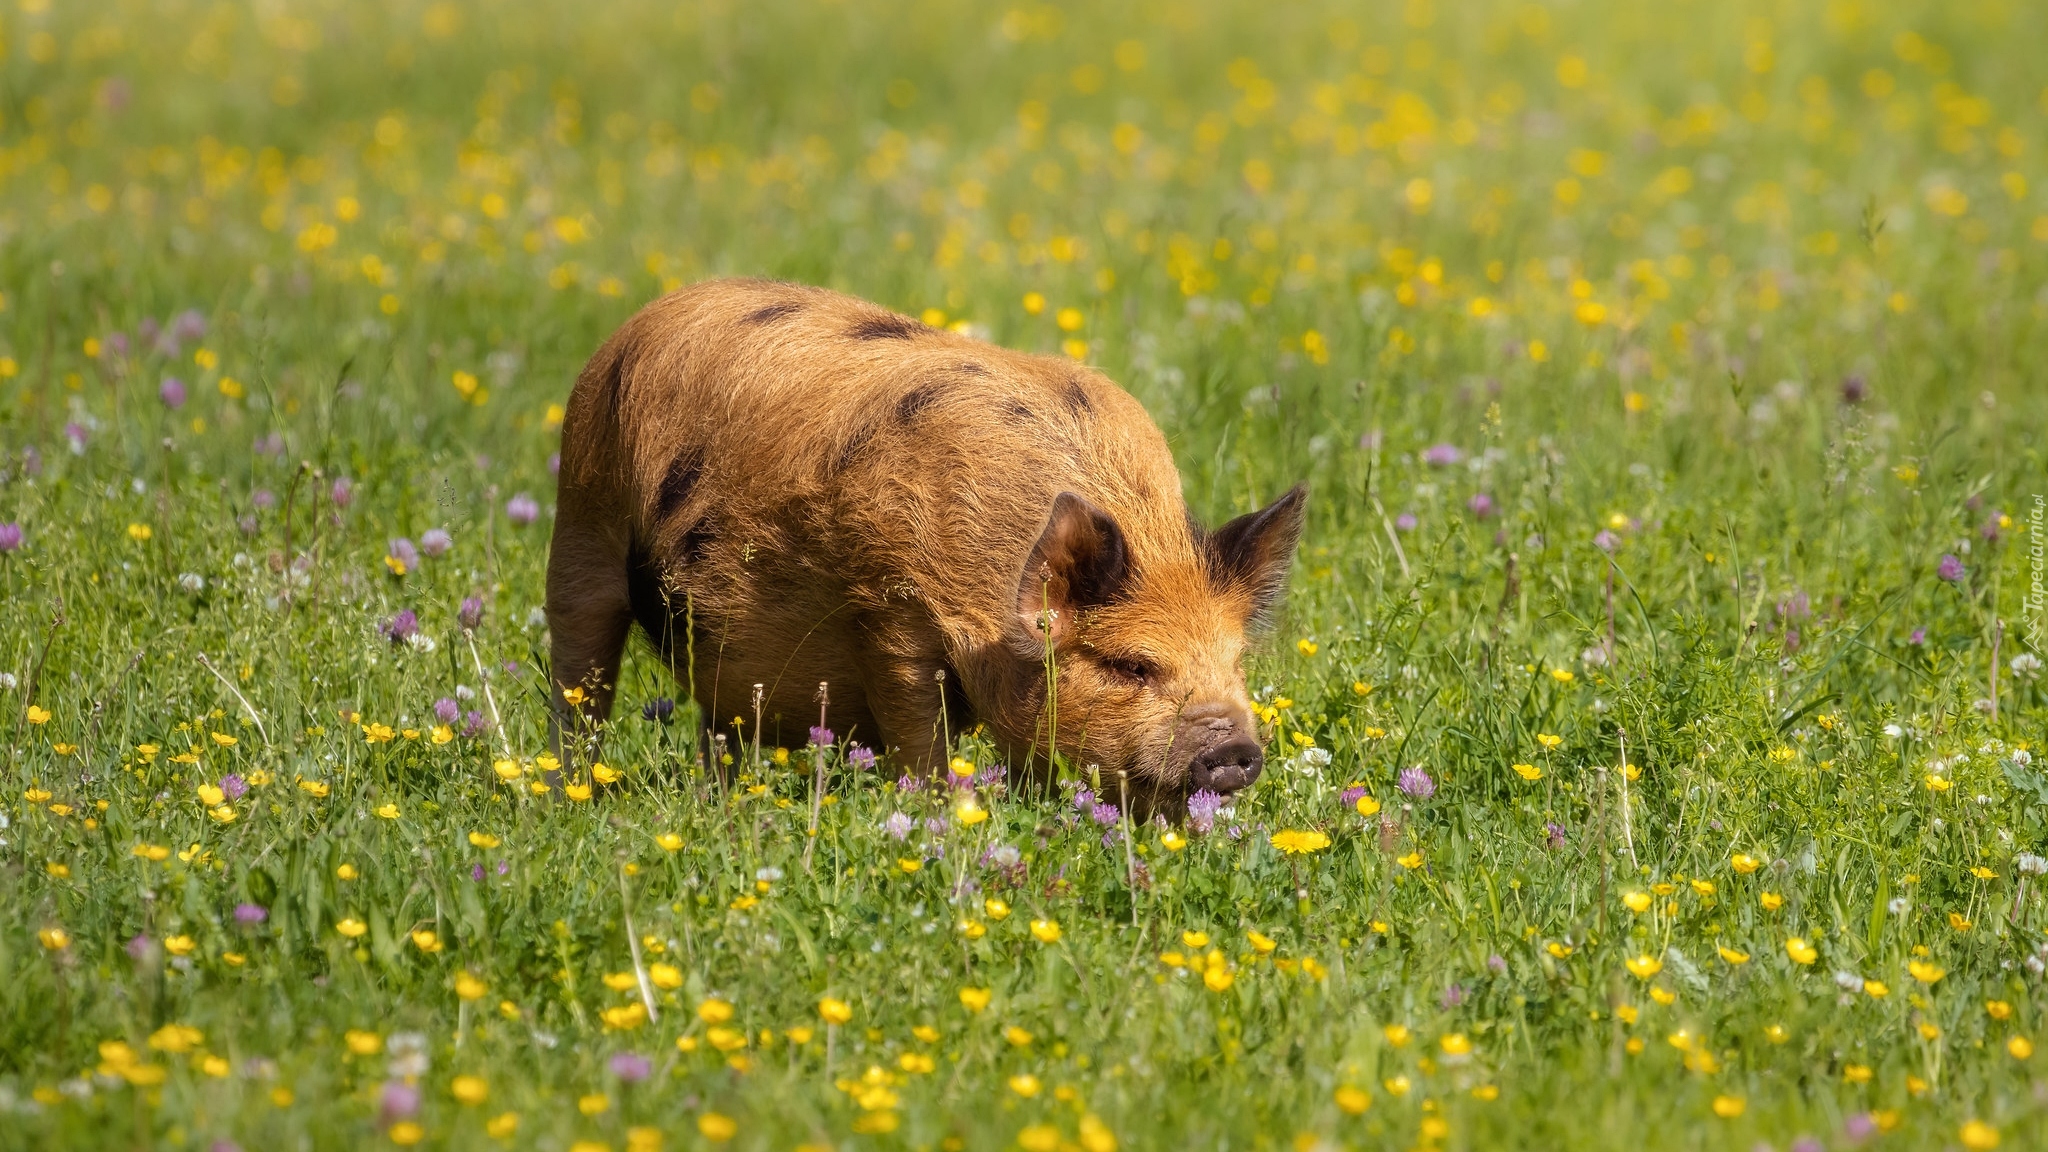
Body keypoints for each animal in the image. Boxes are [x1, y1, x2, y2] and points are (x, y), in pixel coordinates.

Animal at [548, 278, 1310, 815]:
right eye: (1131, 666)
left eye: (1237, 661)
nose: (1236, 748)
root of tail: (632, 329)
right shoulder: (887, 609)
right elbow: (921, 736)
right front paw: (949, 818)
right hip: (582, 516)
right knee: (578, 674)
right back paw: (572, 797)